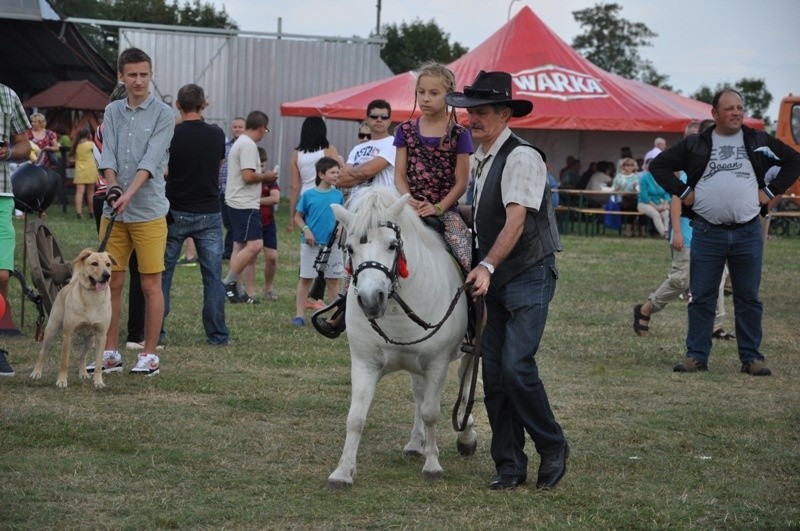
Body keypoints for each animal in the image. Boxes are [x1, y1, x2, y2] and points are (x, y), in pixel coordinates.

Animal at [29, 247, 116, 388]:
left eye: (108, 264)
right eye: (94, 264)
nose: (106, 275)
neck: (93, 297)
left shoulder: (101, 335)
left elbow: (98, 363)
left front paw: (98, 382)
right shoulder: (68, 334)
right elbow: (64, 361)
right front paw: (61, 381)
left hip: (90, 339)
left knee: (82, 355)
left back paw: (83, 373)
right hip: (51, 329)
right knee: (43, 352)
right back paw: (36, 373)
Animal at [328, 188, 478, 490]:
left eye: (392, 245)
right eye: (350, 248)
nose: (371, 300)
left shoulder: (436, 363)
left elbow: (432, 412)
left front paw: (432, 465)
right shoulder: (364, 363)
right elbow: (356, 417)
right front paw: (343, 471)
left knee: (465, 384)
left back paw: (466, 437)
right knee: (419, 395)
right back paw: (415, 443)